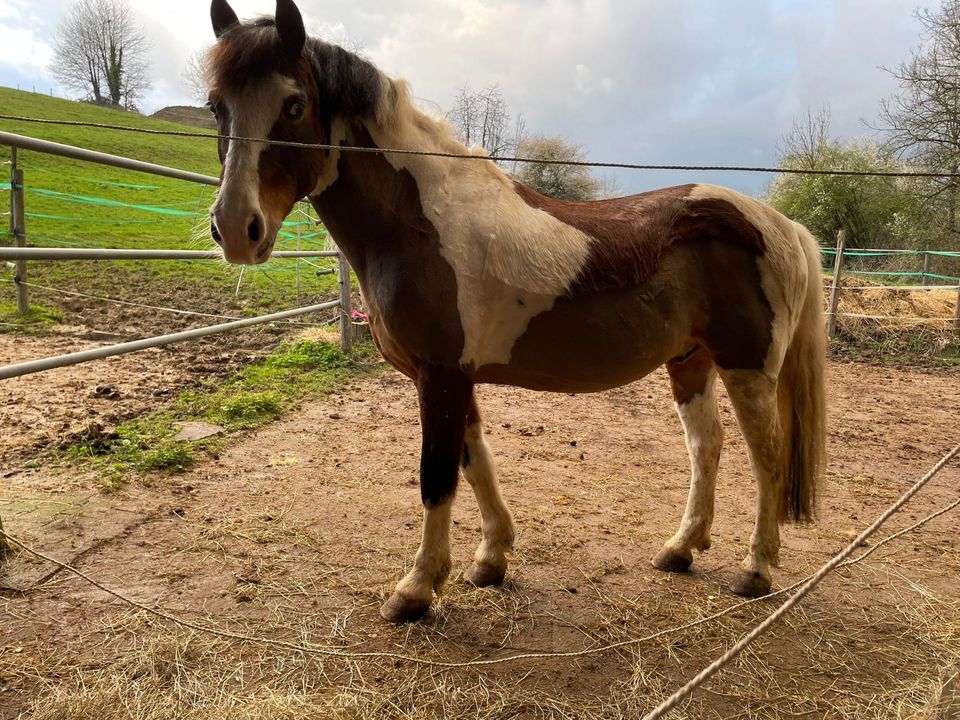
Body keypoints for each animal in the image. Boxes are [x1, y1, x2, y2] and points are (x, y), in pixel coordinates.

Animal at [206, 0, 828, 624]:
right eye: (217, 106)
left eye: (294, 105)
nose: (235, 228)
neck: (417, 223)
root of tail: (784, 226)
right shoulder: (454, 378)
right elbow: (473, 460)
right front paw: (491, 559)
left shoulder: (440, 376)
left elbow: (437, 476)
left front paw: (416, 588)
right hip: (690, 360)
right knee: (707, 446)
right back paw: (680, 549)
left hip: (747, 367)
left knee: (767, 458)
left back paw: (756, 569)